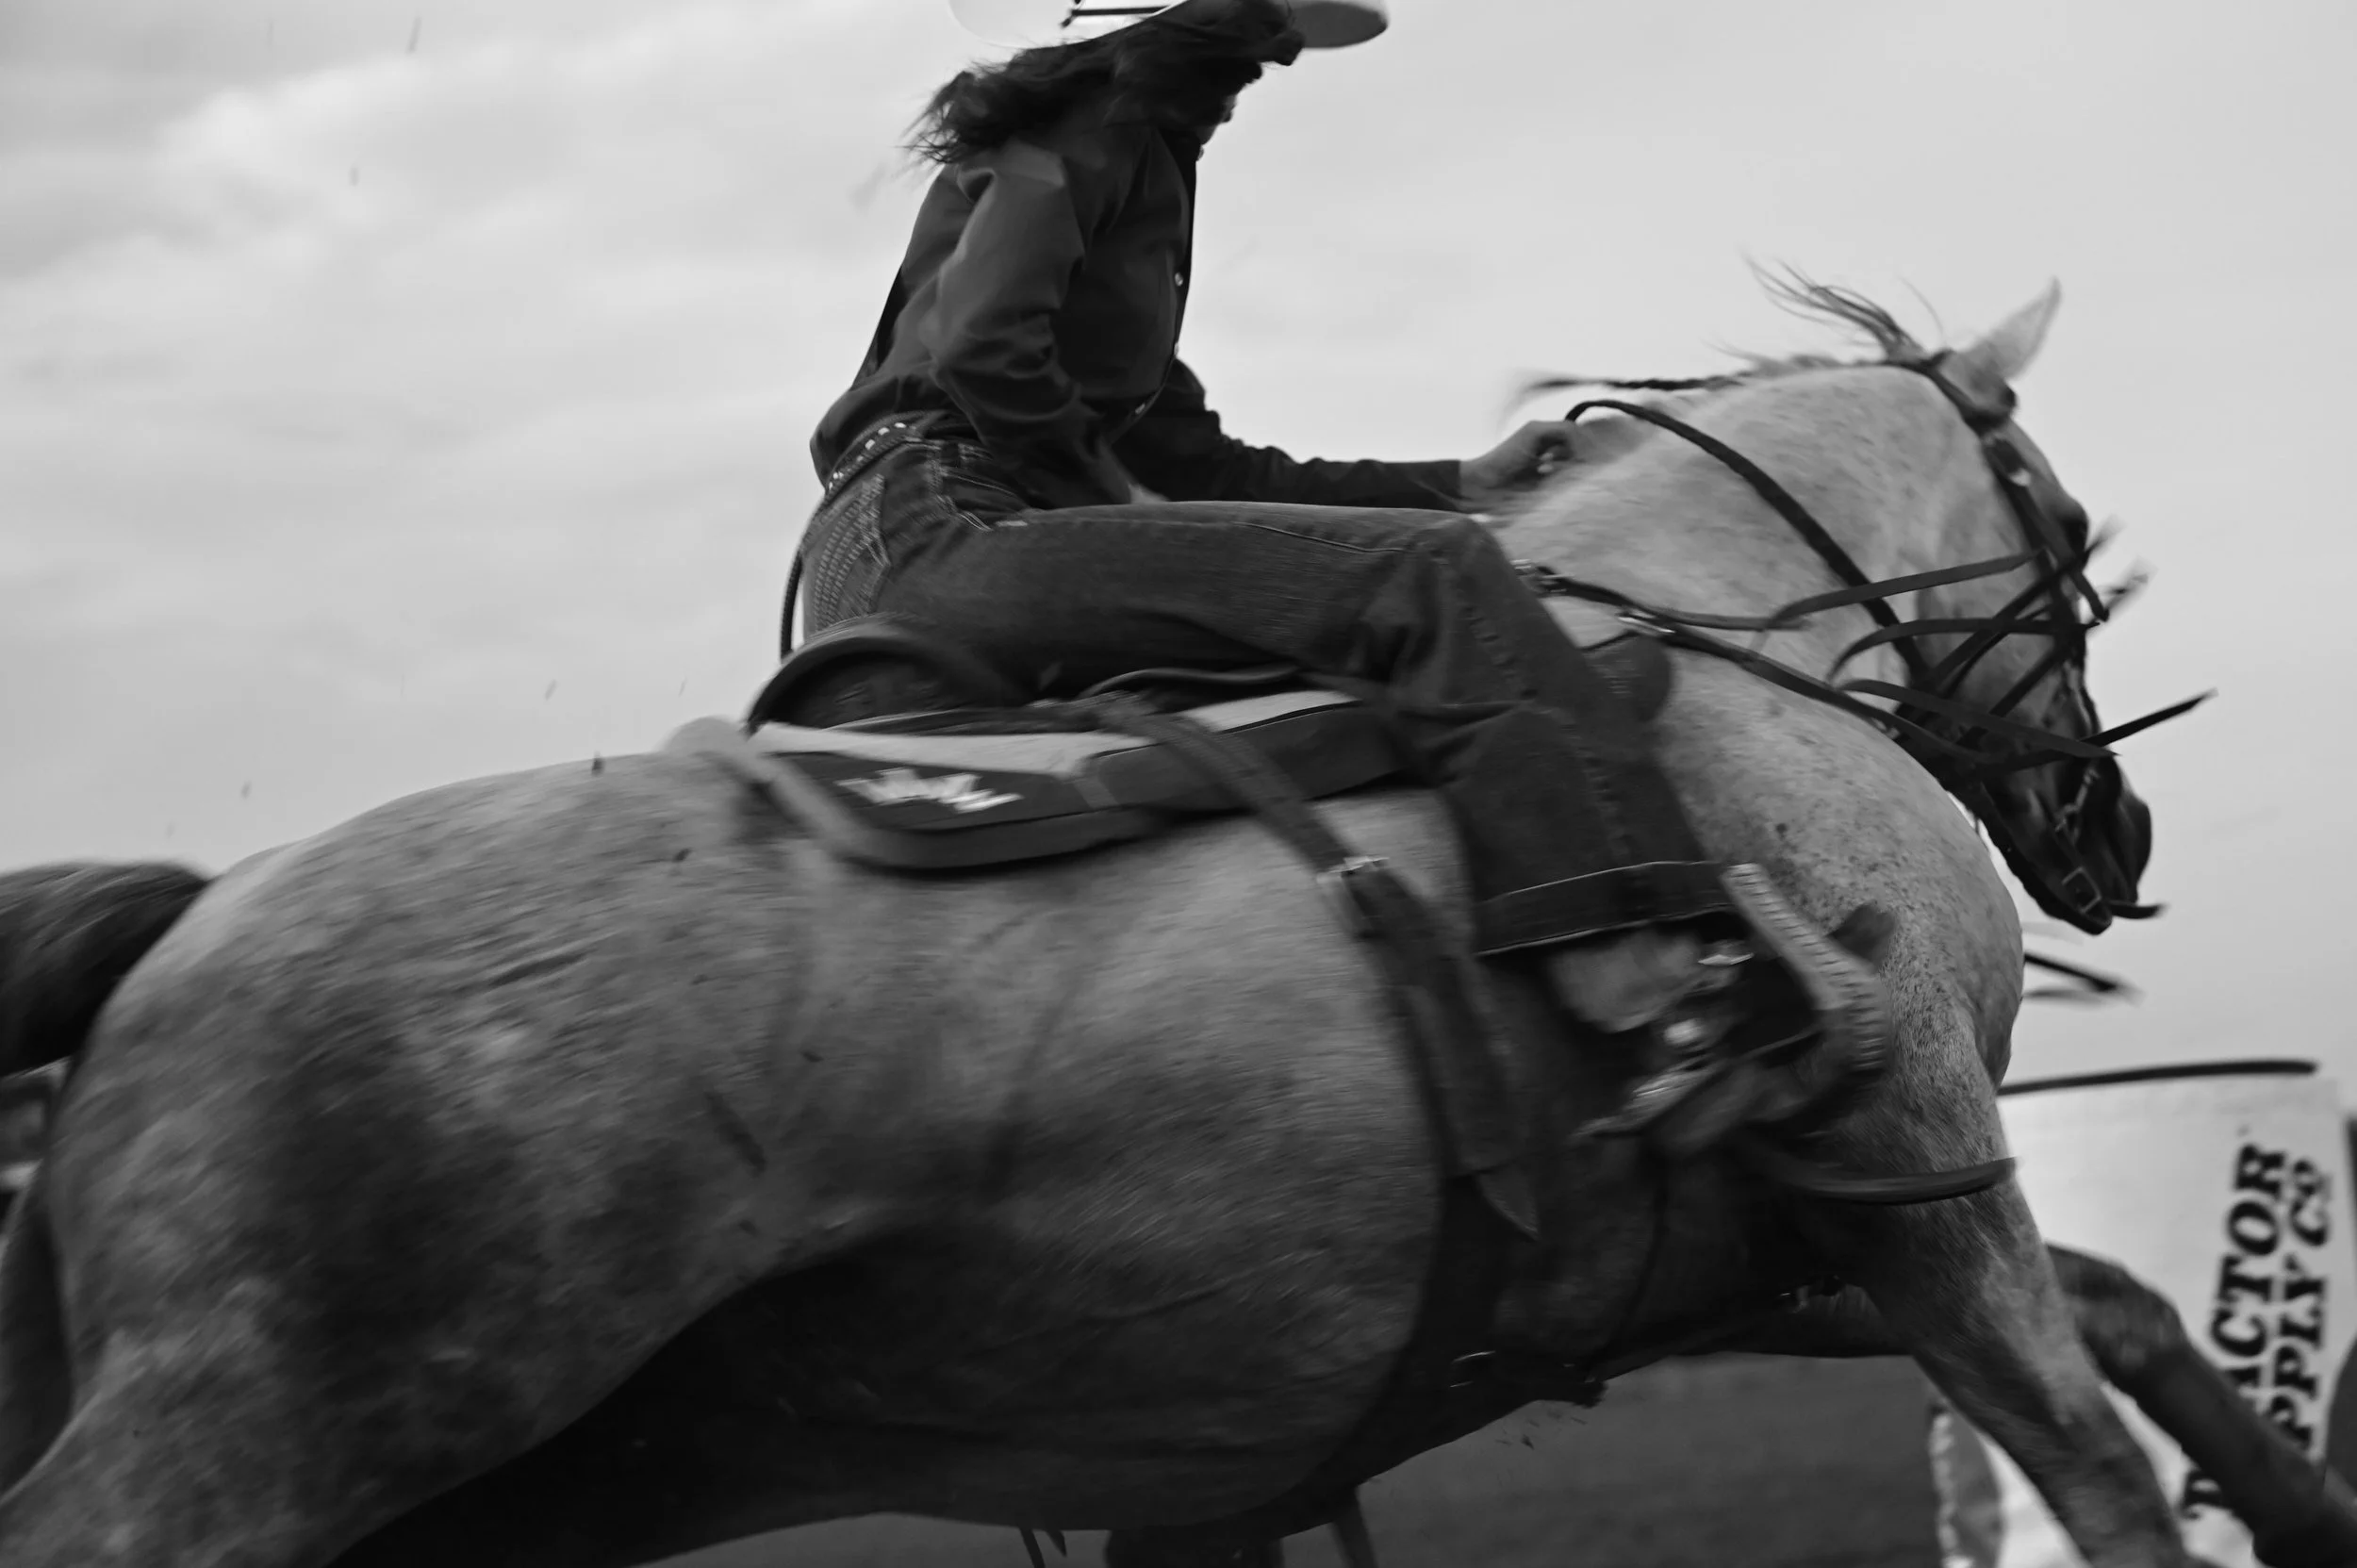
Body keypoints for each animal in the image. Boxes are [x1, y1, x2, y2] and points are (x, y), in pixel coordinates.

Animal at [0, 281, 2273, 1568]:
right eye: (2067, 529)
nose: (2108, 819)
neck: (1709, 647)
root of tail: (188, 927)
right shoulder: (1908, 1146)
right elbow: (2089, 1452)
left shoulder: (1740, 1249)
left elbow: (2132, 1324)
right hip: (272, 1426)